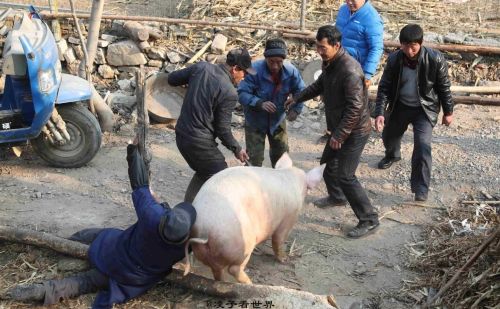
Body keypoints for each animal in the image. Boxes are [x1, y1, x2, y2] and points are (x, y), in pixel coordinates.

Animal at [183, 153, 324, 282]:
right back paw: (250, 283)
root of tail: (204, 233)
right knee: (234, 269)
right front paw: (284, 259)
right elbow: (278, 240)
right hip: (244, 244)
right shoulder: (289, 218)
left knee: (217, 272)